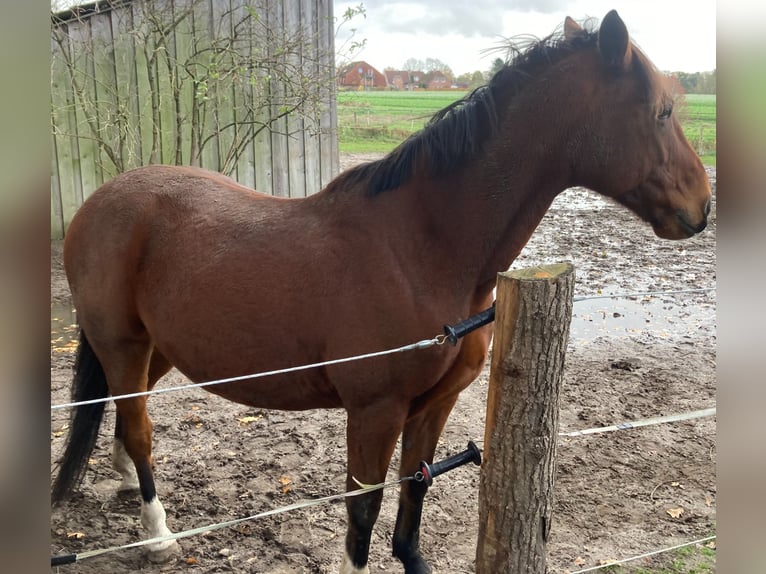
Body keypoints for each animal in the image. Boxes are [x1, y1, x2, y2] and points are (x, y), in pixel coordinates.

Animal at [52, 10, 712, 574]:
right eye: (661, 111)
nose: (701, 206)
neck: (420, 249)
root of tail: (99, 203)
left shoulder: (434, 405)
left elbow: (414, 492)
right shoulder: (376, 411)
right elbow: (363, 508)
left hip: (160, 347)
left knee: (124, 413)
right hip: (123, 343)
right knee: (139, 427)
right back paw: (158, 532)